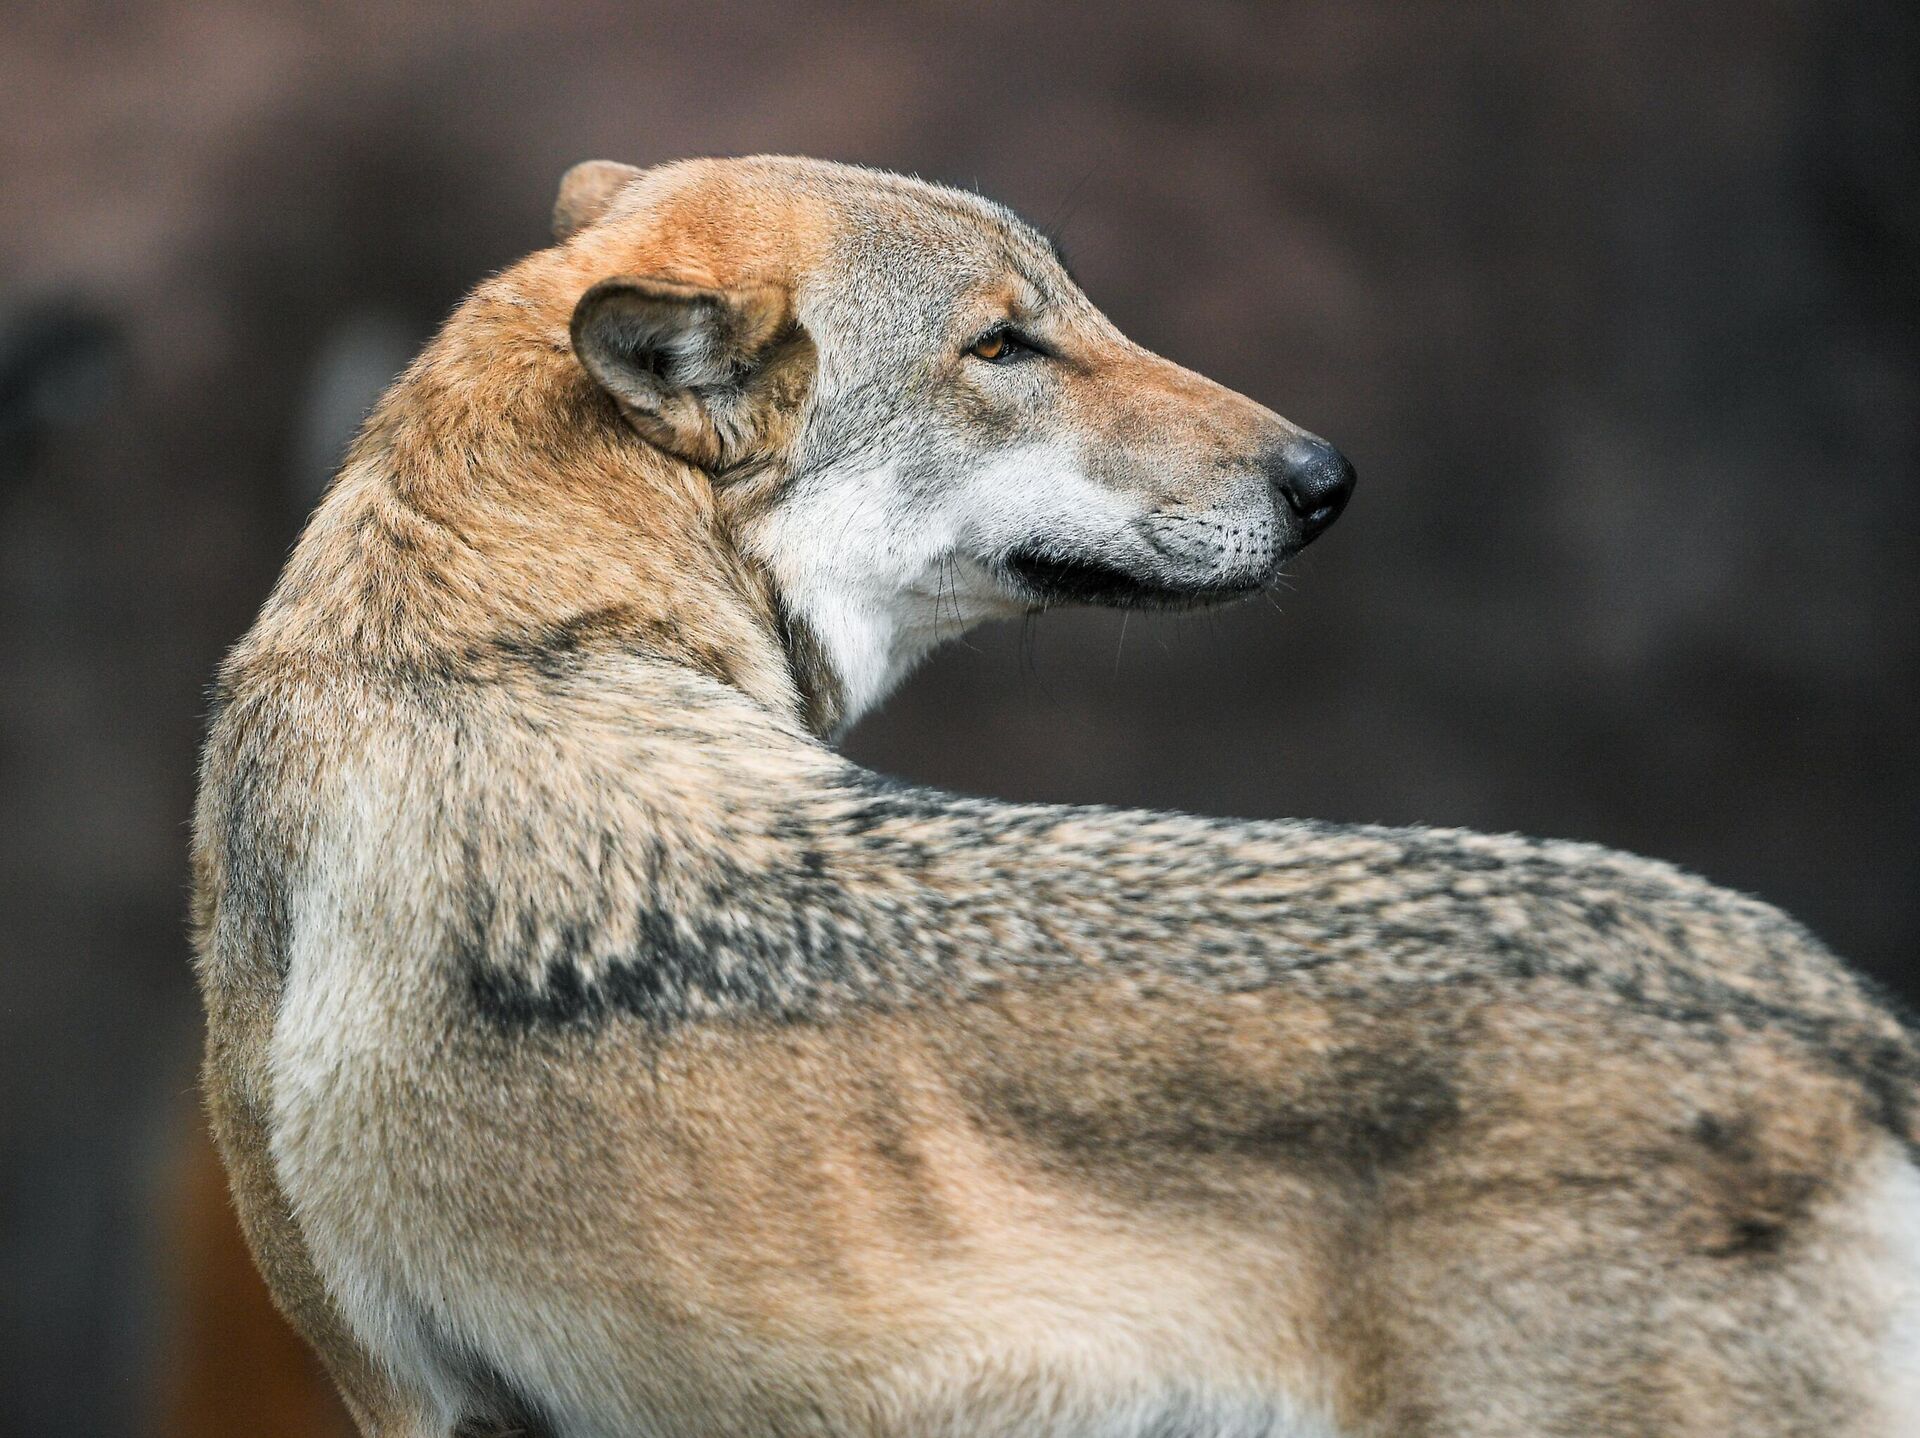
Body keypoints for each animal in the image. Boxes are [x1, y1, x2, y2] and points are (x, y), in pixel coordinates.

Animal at [192, 155, 1920, 1437]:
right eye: (1003, 348)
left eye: (1073, 310)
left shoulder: (400, 1397)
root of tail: (1843, 1024)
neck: (495, 630)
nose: (1325, 478)